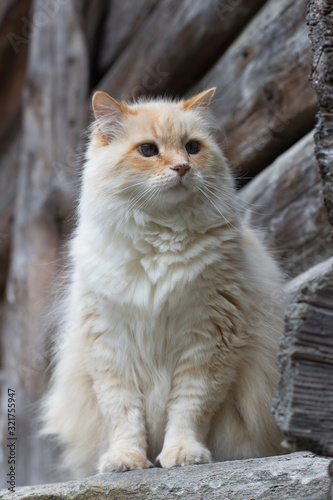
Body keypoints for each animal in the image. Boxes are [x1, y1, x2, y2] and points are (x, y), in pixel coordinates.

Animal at [41, 89, 284, 476]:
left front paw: (183, 454)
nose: (183, 168)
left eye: (192, 148)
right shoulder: (110, 347)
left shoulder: (208, 343)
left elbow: (188, 409)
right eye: (148, 150)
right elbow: (124, 415)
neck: (160, 239)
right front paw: (126, 460)